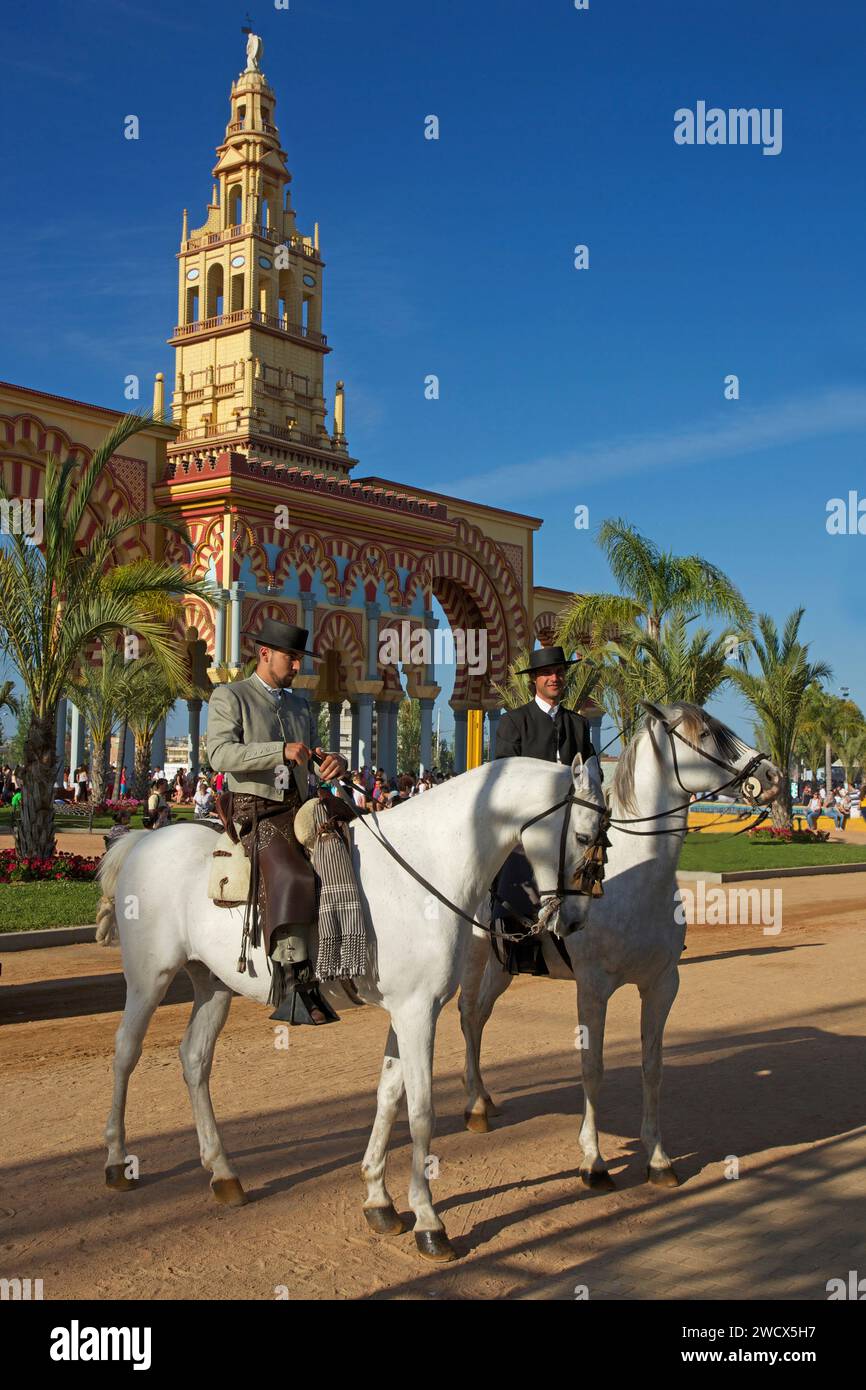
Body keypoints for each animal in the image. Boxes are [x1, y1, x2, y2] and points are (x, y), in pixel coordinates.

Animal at [97, 750, 606, 1262]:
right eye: (585, 836)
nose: (576, 921)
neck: (428, 864)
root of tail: (143, 840)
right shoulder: (418, 1013)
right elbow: (421, 1111)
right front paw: (428, 1221)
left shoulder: (409, 1011)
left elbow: (388, 1096)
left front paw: (379, 1200)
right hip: (149, 977)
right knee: (124, 1052)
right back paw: (117, 1162)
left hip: (212, 984)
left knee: (194, 1060)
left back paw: (222, 1173)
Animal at [461, 700, 783, 1189]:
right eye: (708, 734)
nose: (771, 776)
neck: (634, 879)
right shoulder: (593, 989)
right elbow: (592, 1069)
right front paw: (593, 1161)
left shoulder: (662, 985)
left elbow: (653, 1068)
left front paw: (659, 1158)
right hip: (477, 954)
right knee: (467, 1015)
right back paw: (475, 1106)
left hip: (502, 966)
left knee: (479, 1016)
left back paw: (484, 1098)